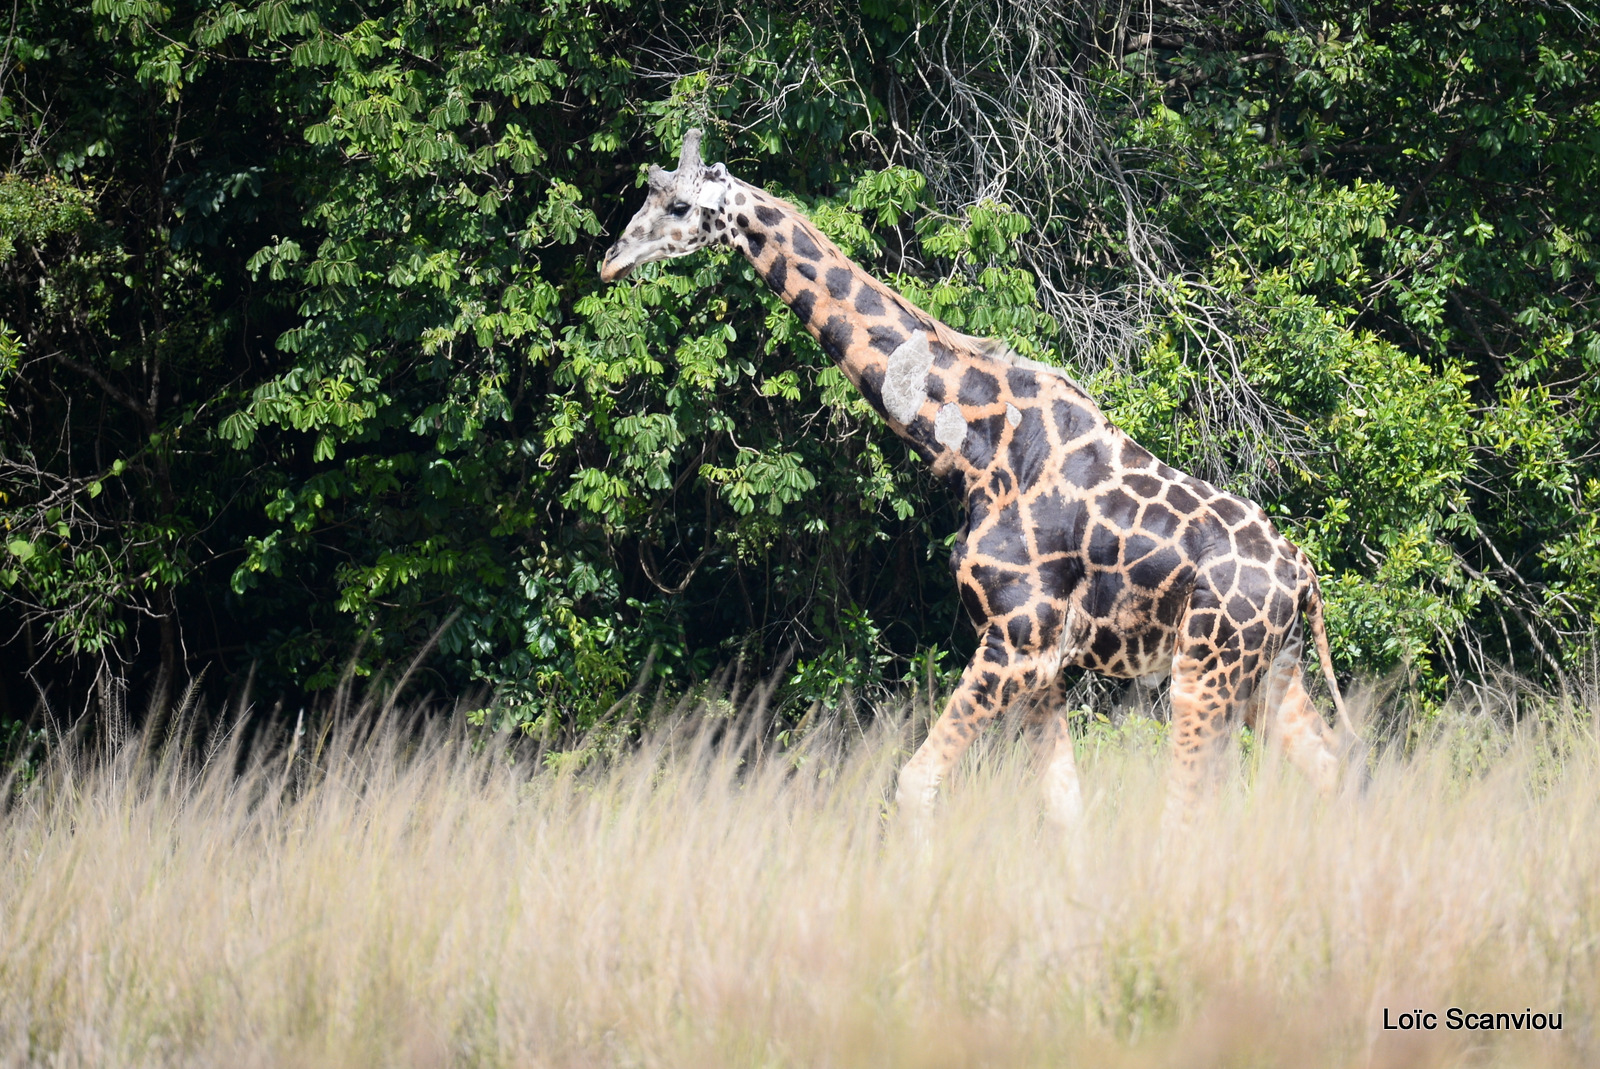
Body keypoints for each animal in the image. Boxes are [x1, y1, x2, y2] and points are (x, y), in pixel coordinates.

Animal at [601, 131, 1363, 825]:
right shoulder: (1045, 665)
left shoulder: (1015, 642)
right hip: (1272, 673)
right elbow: (1064, 807)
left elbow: (915, 782)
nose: (611, 262)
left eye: (676, 204)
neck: (975, 449)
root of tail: (1303, 575)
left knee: (1194, 804)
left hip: (1205, 669)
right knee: (1332, 770)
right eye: (645, 194)